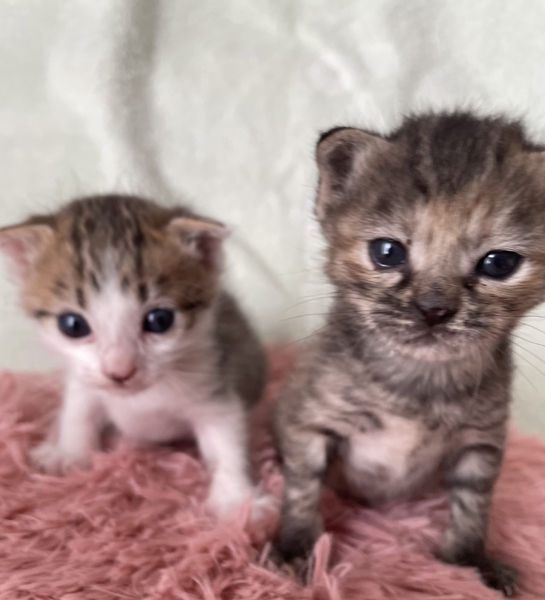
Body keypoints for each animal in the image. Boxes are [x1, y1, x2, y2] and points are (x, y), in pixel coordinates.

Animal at [0, 194, 269, 520]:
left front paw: (236, 499)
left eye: (159, 320)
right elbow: (78, 411)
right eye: (72, 325)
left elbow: (226, 440)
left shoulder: (214, 382)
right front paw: (68, 453)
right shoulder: (84, 381)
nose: (120, 371)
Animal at [273, 112, 545, 596]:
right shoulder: (310, 422)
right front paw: (297, 549)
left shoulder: (482, 441)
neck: (418, 380)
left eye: (499, 264)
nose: (433, 310)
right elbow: (302, 490)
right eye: (387, 252)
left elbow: (474, 508)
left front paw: (469, 563)